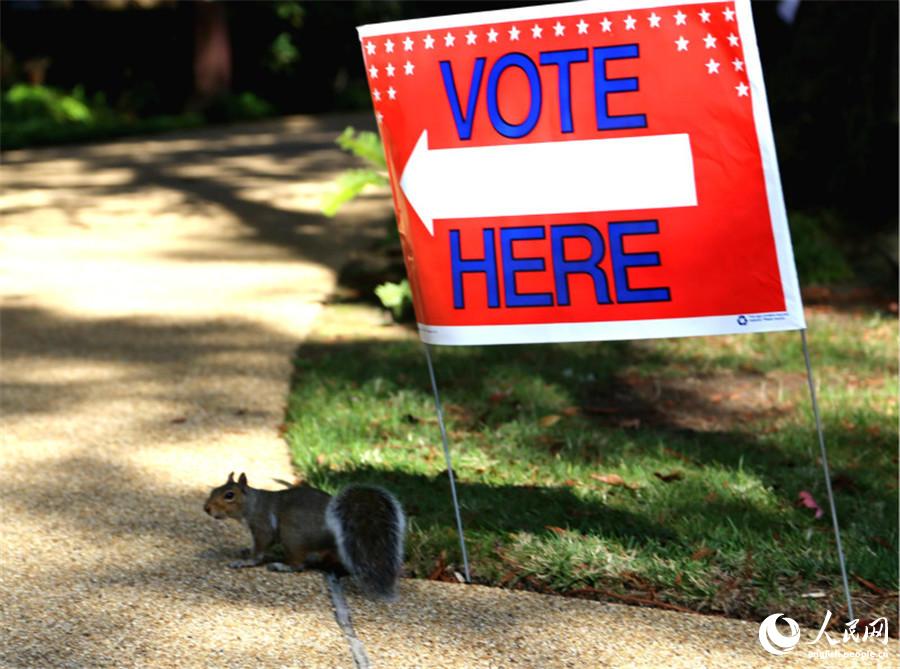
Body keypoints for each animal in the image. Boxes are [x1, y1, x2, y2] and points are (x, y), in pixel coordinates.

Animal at [206, 470, 406, 600]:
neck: (252, 505)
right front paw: (246, 551)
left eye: (229, 495)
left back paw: (281, 566)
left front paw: (245, 562)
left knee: (299, 564)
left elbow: (259, 550)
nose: (206, 509)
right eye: (214, 489)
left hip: (292, 535)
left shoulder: (262, 526)